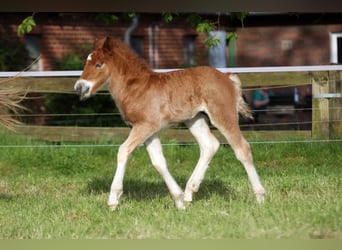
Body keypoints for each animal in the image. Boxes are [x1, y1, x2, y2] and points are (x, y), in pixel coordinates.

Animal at [75, 36, 268, 209]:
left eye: (99, 64)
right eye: (87, 62)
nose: (79, 87)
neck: (136, 87)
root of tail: (227, 77)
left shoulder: (144, 126)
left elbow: (123, 151)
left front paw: (113, 200)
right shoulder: (149, 131)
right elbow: (159, 162)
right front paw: (179, 200)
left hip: (223, 115)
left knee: (242, 148)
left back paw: (260, 196)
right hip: (194, 119)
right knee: (209, 145)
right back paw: (189, 192)